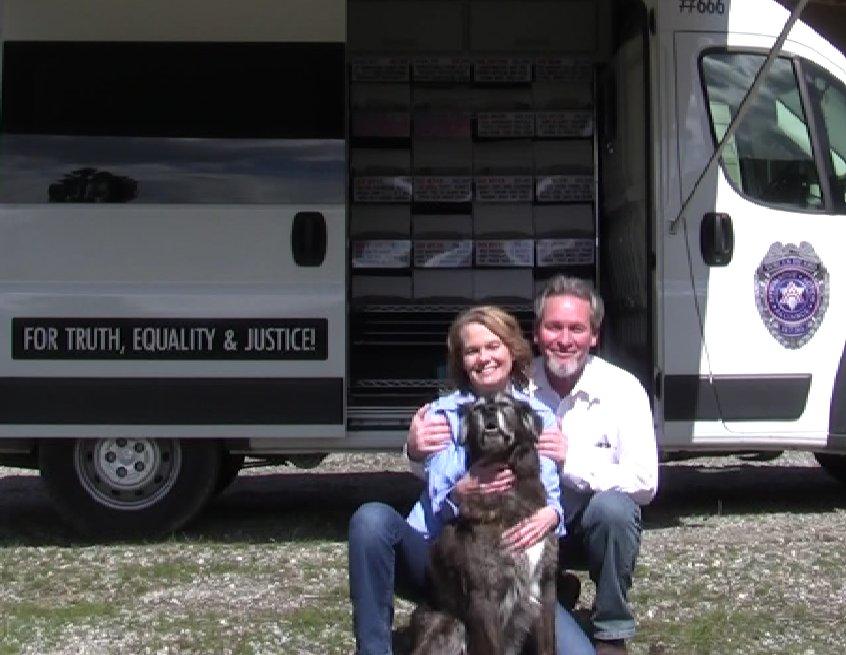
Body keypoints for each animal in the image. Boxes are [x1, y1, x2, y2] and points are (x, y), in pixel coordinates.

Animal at [410, 392, 558, 655]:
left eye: (504, 404)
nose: (489, 410)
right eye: (477, 408)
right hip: (450, 623)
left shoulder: (545, 585)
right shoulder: (484, 595)